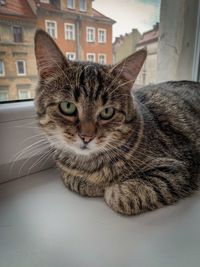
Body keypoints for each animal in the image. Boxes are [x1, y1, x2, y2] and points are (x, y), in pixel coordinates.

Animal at [33, 30, 199, 217]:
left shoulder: (179, 168)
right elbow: (71, 178)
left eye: (107, 112)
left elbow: (122, 196)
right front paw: (91, 183)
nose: (86, 137)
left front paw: (110, 188)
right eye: (67, 107)